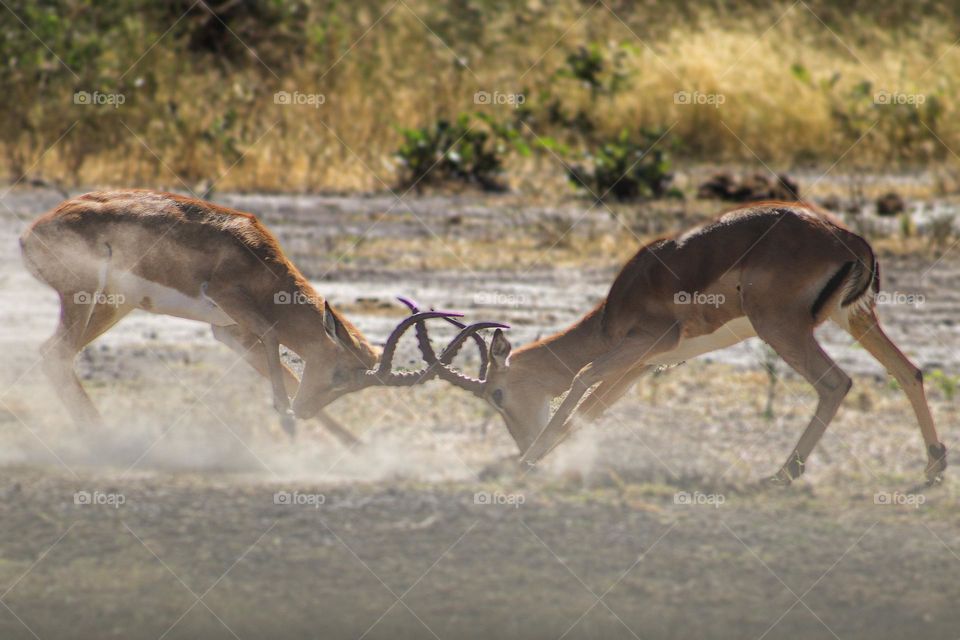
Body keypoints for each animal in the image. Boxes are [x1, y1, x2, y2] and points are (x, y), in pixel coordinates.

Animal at [432, 200, 948, 484]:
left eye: (497, 394)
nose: (521, 439)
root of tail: (848, 238)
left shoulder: (642, 344)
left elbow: (580, 379)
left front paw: (529, 462)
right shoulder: (642, 365)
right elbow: (590, 411)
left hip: (781, 327)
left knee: (835, 383)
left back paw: (782, 474)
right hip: (855, 317)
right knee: (908, 371)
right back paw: (933, 466)